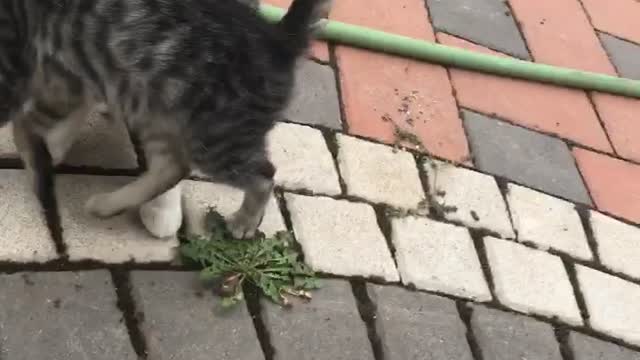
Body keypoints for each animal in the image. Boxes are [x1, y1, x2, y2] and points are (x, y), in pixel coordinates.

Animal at [0, 0, 330, 239]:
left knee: (263, 175)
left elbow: (22, 123)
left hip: (215, 138)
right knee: (171, 167)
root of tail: (279, 41)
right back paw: (105, 205)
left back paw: (245, 221)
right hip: (149, 108)